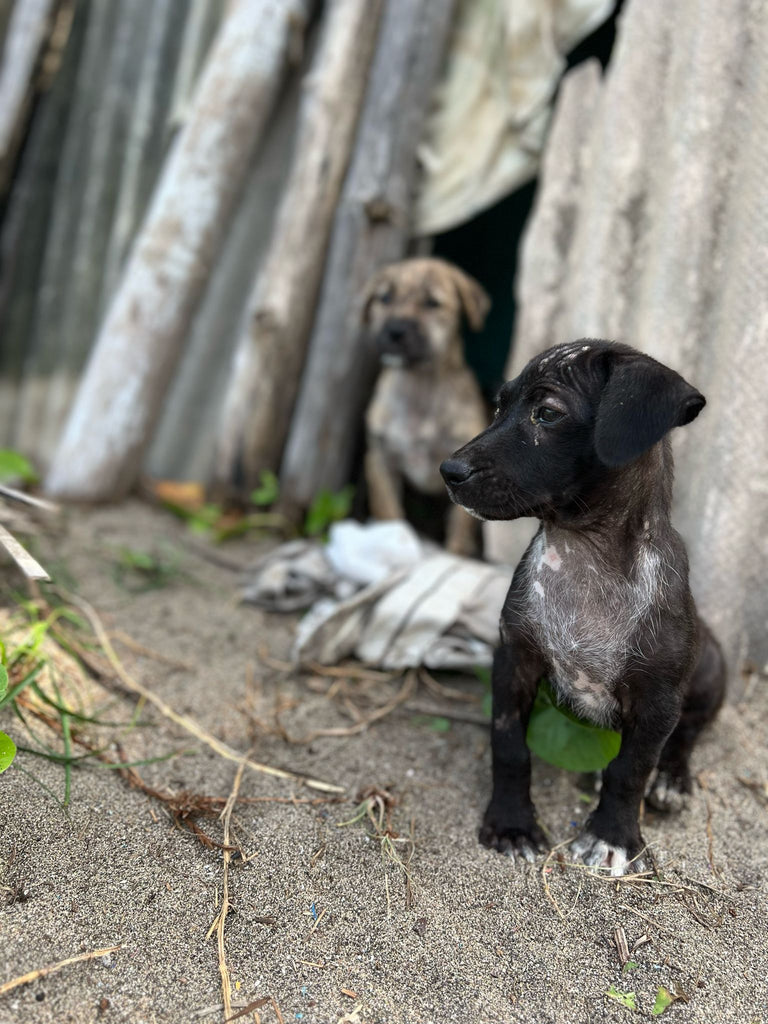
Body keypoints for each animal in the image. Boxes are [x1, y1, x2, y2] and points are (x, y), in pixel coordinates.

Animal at [364, 260, 489, 557]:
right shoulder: (380, 460)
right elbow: (389, 512)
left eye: (432, 303)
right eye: (385, 298)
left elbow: (459, 528)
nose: (395, 330)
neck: (419, 384)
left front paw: (456, 553)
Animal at [442, 342, 724, 872]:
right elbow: (509, 747)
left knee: (688, 734)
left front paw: (611, 836)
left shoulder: (657, 701)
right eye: (499, 406)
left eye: (548, 413)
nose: (449, 471)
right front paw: (511, 823)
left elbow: (631, 769)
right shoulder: (513, 663)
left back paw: (672, 780)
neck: (585, 557)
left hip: (710, 676)